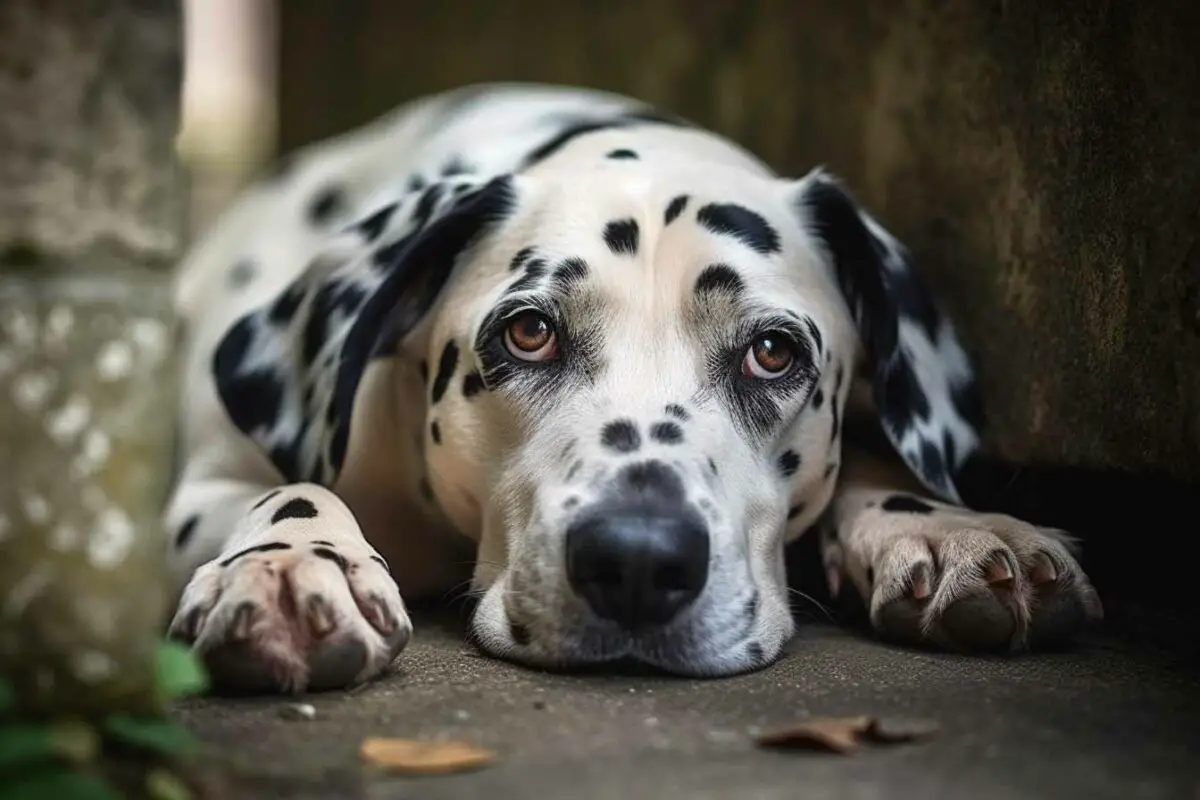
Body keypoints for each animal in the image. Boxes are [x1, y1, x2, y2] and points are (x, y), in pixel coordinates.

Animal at [164, 82, 1099, 695]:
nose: (641, 561)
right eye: (529, 333)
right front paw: (288, 567)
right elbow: (295, 488)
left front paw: (951, 528)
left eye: (772, 352)